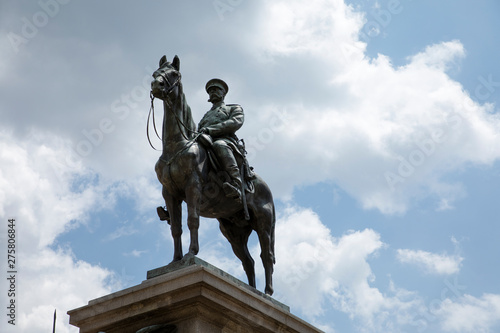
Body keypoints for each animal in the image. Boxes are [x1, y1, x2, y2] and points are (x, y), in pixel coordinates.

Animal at [150, 55, 276, 296]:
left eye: (174, 74)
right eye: (155, 73)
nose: (156, 86)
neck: (176, 145)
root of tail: (267, 188)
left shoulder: (193, 187)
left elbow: (192, 220)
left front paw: (191, 253)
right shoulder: (170, 193)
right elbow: (176, 228)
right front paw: (175, 261)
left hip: (263, 225)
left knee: (266, 256)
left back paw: (267, 293)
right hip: (233, 231)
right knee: (248, 261)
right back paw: (251, 290)